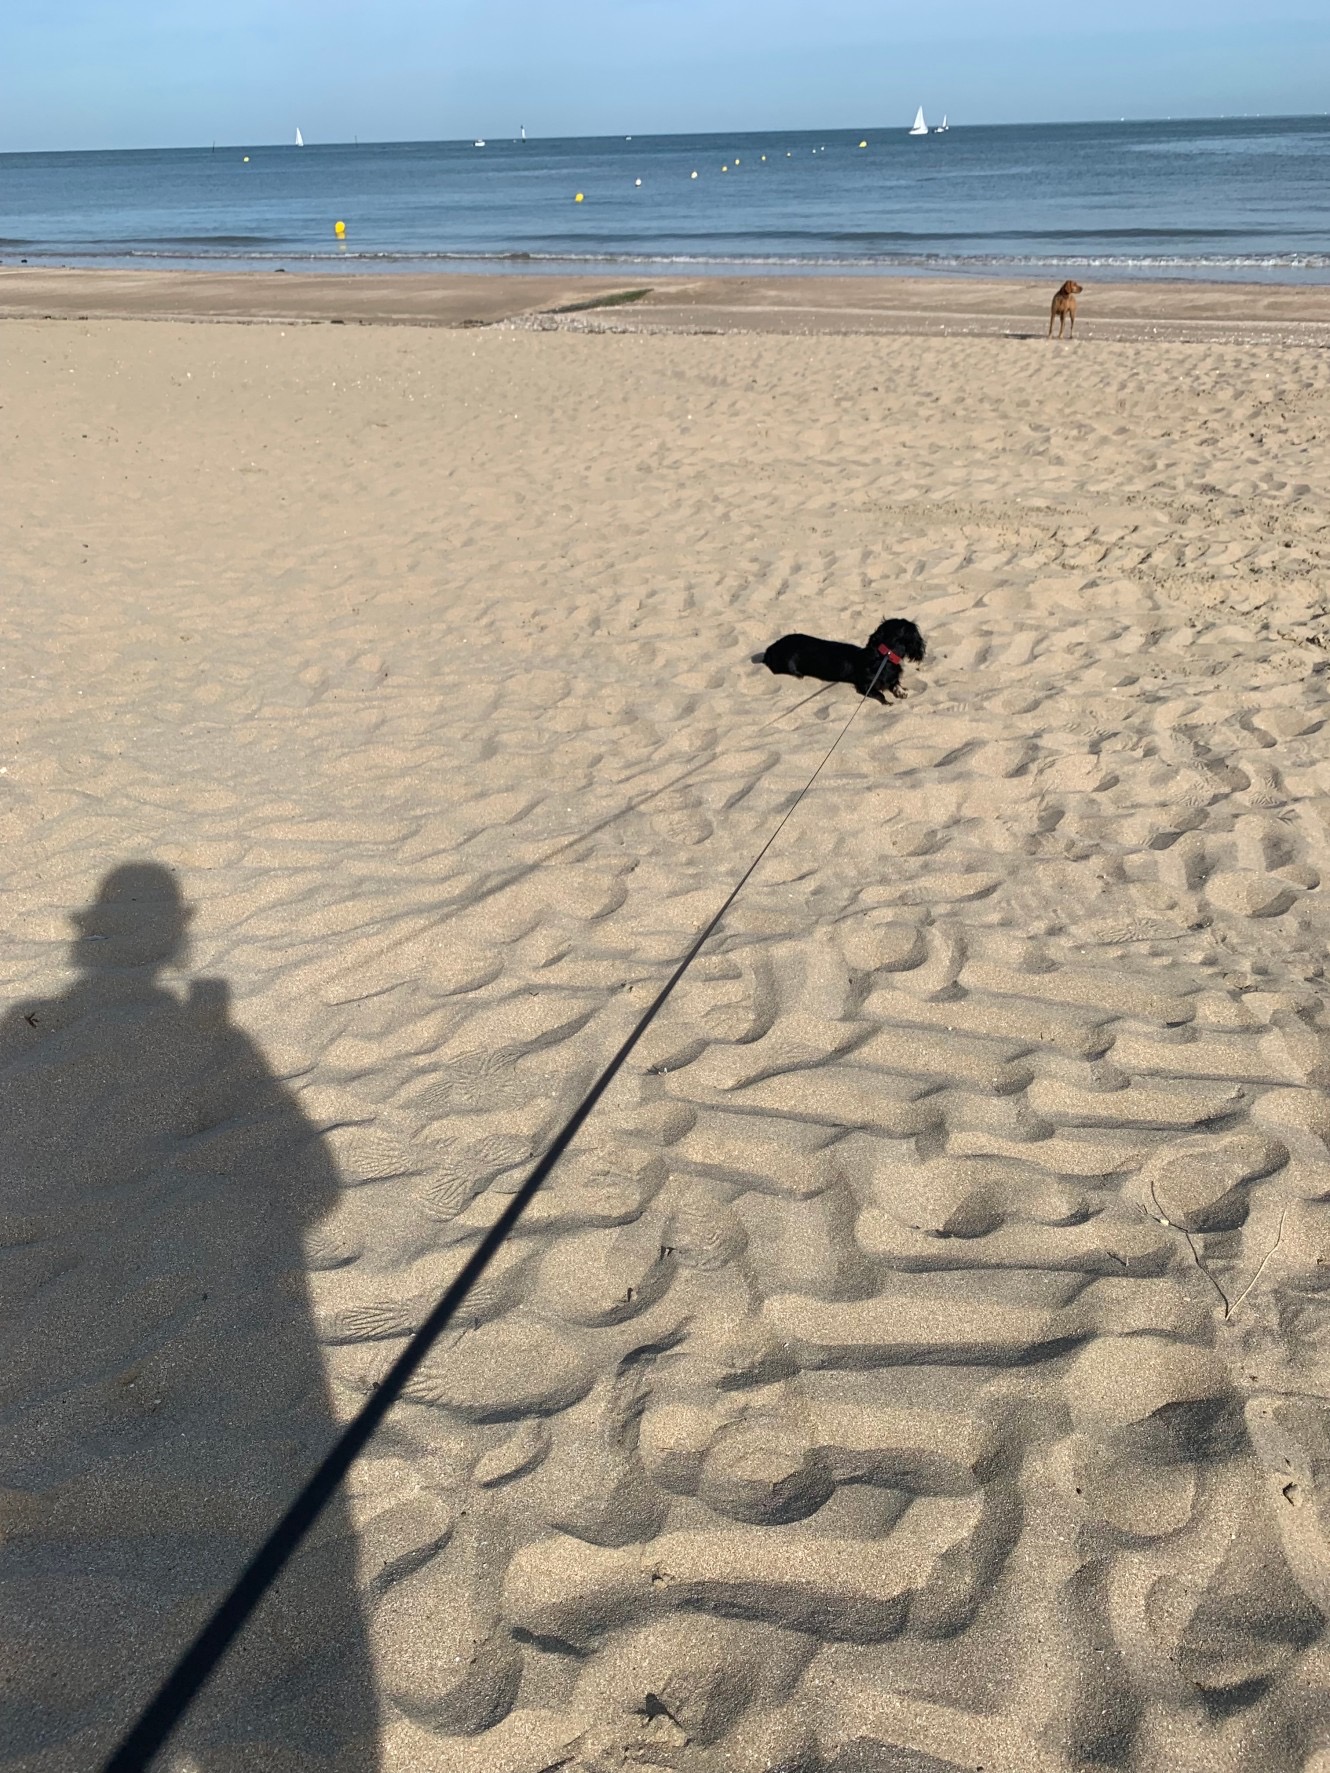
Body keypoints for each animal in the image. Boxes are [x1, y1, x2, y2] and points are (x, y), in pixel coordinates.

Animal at [755, 620, 929, 702]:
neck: (885, 656)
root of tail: (771, 648)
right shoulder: (865, 686)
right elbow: (880, 694)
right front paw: (888, 702)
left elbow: (895, 684)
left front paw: (901, 691)